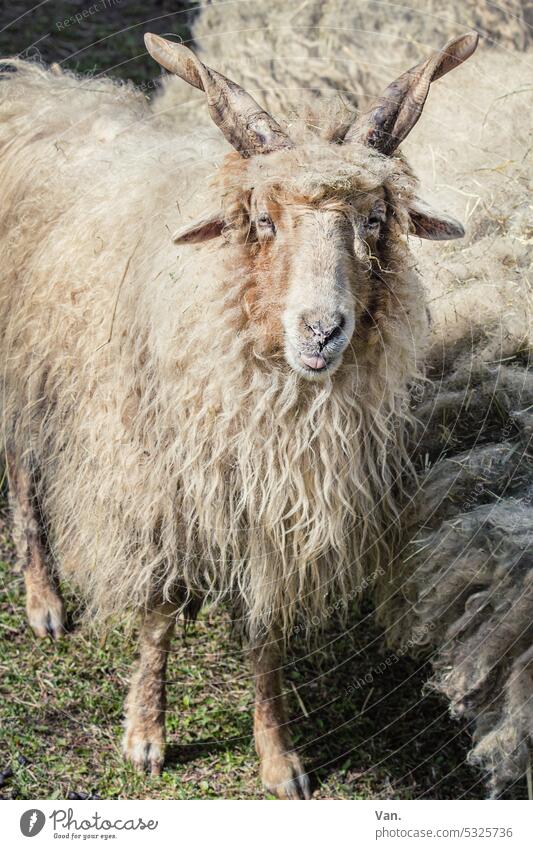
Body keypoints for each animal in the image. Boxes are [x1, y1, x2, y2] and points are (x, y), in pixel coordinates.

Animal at [1, 28, 478, 796]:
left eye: (374, 221)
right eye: (262, 221)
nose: (322, 330)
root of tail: (34, 83)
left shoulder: (270, 505)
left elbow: (265, 636)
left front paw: (277, 755)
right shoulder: (160, 485)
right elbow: (157, 615)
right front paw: (145, 733)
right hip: (24, 357)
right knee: (19, 458)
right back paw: (43, 597)